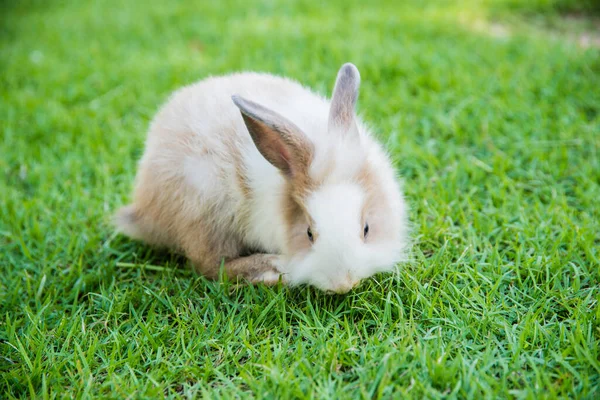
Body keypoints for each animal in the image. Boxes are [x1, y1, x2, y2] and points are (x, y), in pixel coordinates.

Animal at [113, 63, 408, 294]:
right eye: (309, 234)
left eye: (366, 229)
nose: (344, 284)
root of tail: (144, 207)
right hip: (205, 212)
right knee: (212, 266)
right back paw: (272, 270)